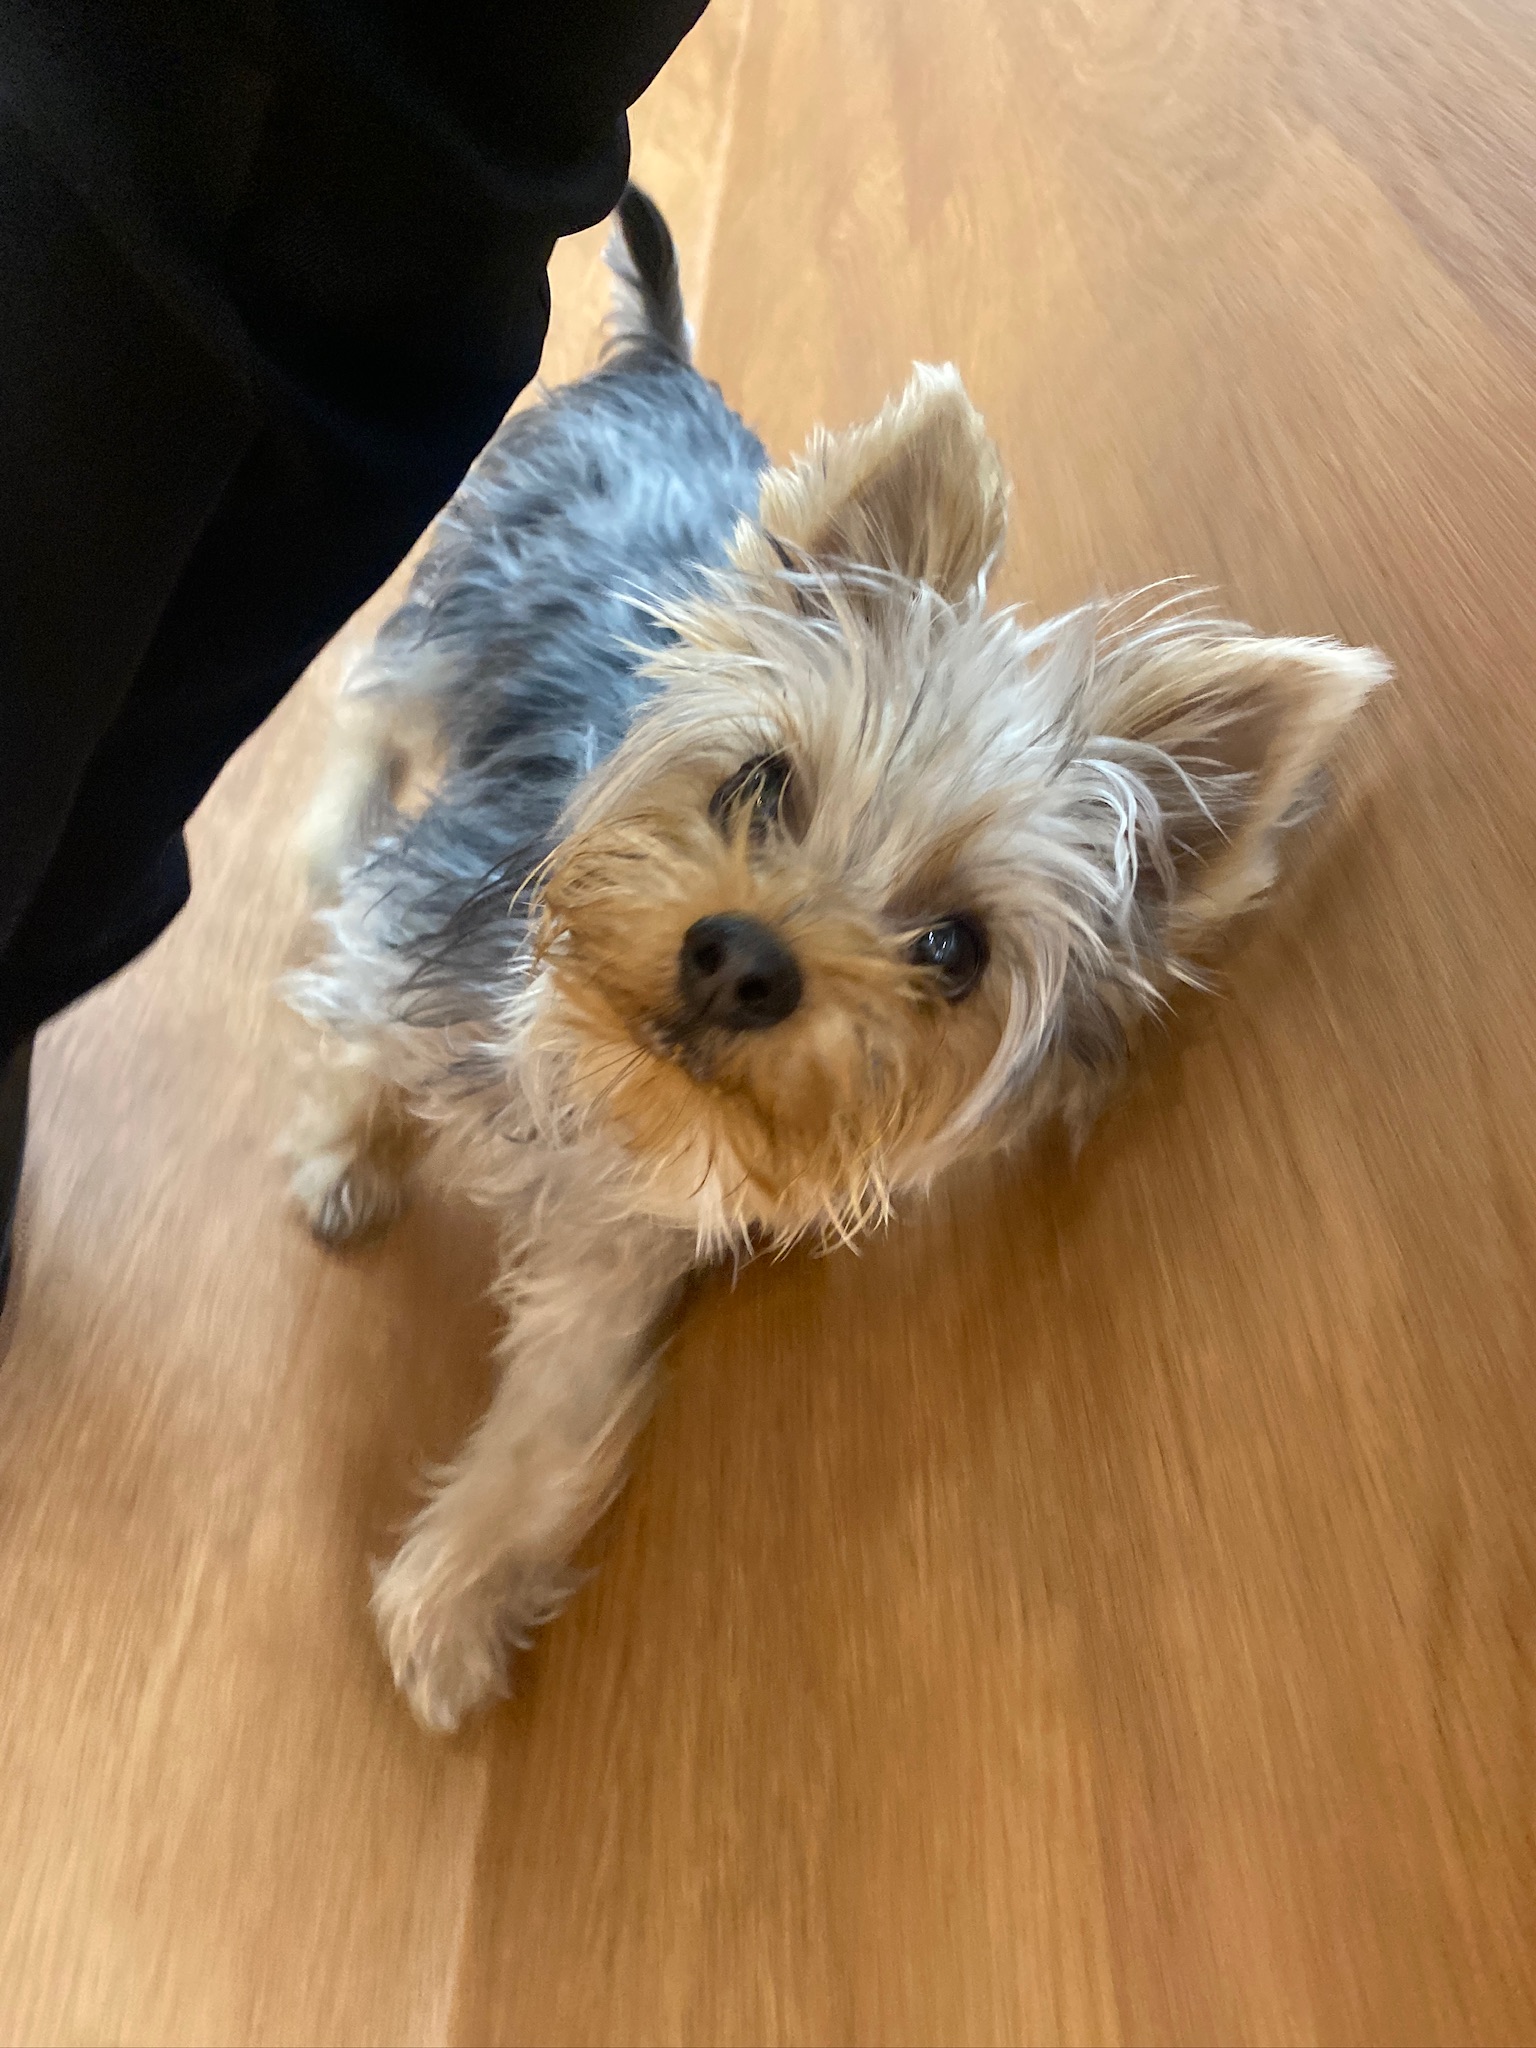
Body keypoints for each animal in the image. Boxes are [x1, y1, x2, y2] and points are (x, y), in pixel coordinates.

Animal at [284, 186, 1387, 1731]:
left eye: (955, 947)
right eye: (762, 781)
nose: (740, 962)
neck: (592, 1063)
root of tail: (664, 368)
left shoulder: (627, 1228)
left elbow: (564, 1401)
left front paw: (458, 1593)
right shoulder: (415, 952)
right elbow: (355, 1031)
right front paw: (347, 1150)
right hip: (467, 589)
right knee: (368, 695)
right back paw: (331, 827)